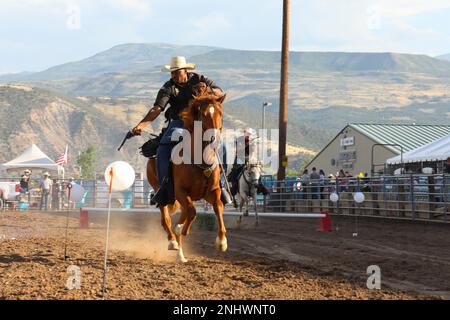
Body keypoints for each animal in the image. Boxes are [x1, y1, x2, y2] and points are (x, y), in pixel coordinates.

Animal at [147, 88, 227, 262]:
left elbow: (218, 206)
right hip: (160, 191)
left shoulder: (213, 191)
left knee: (181, 214)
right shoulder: (180, 191)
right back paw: (172, 241)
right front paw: (183, 231)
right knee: (166, 218)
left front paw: (221, 242)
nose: (214, 138)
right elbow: (192, 211)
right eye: (203, 114)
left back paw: (180, 253)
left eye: (220, 113)